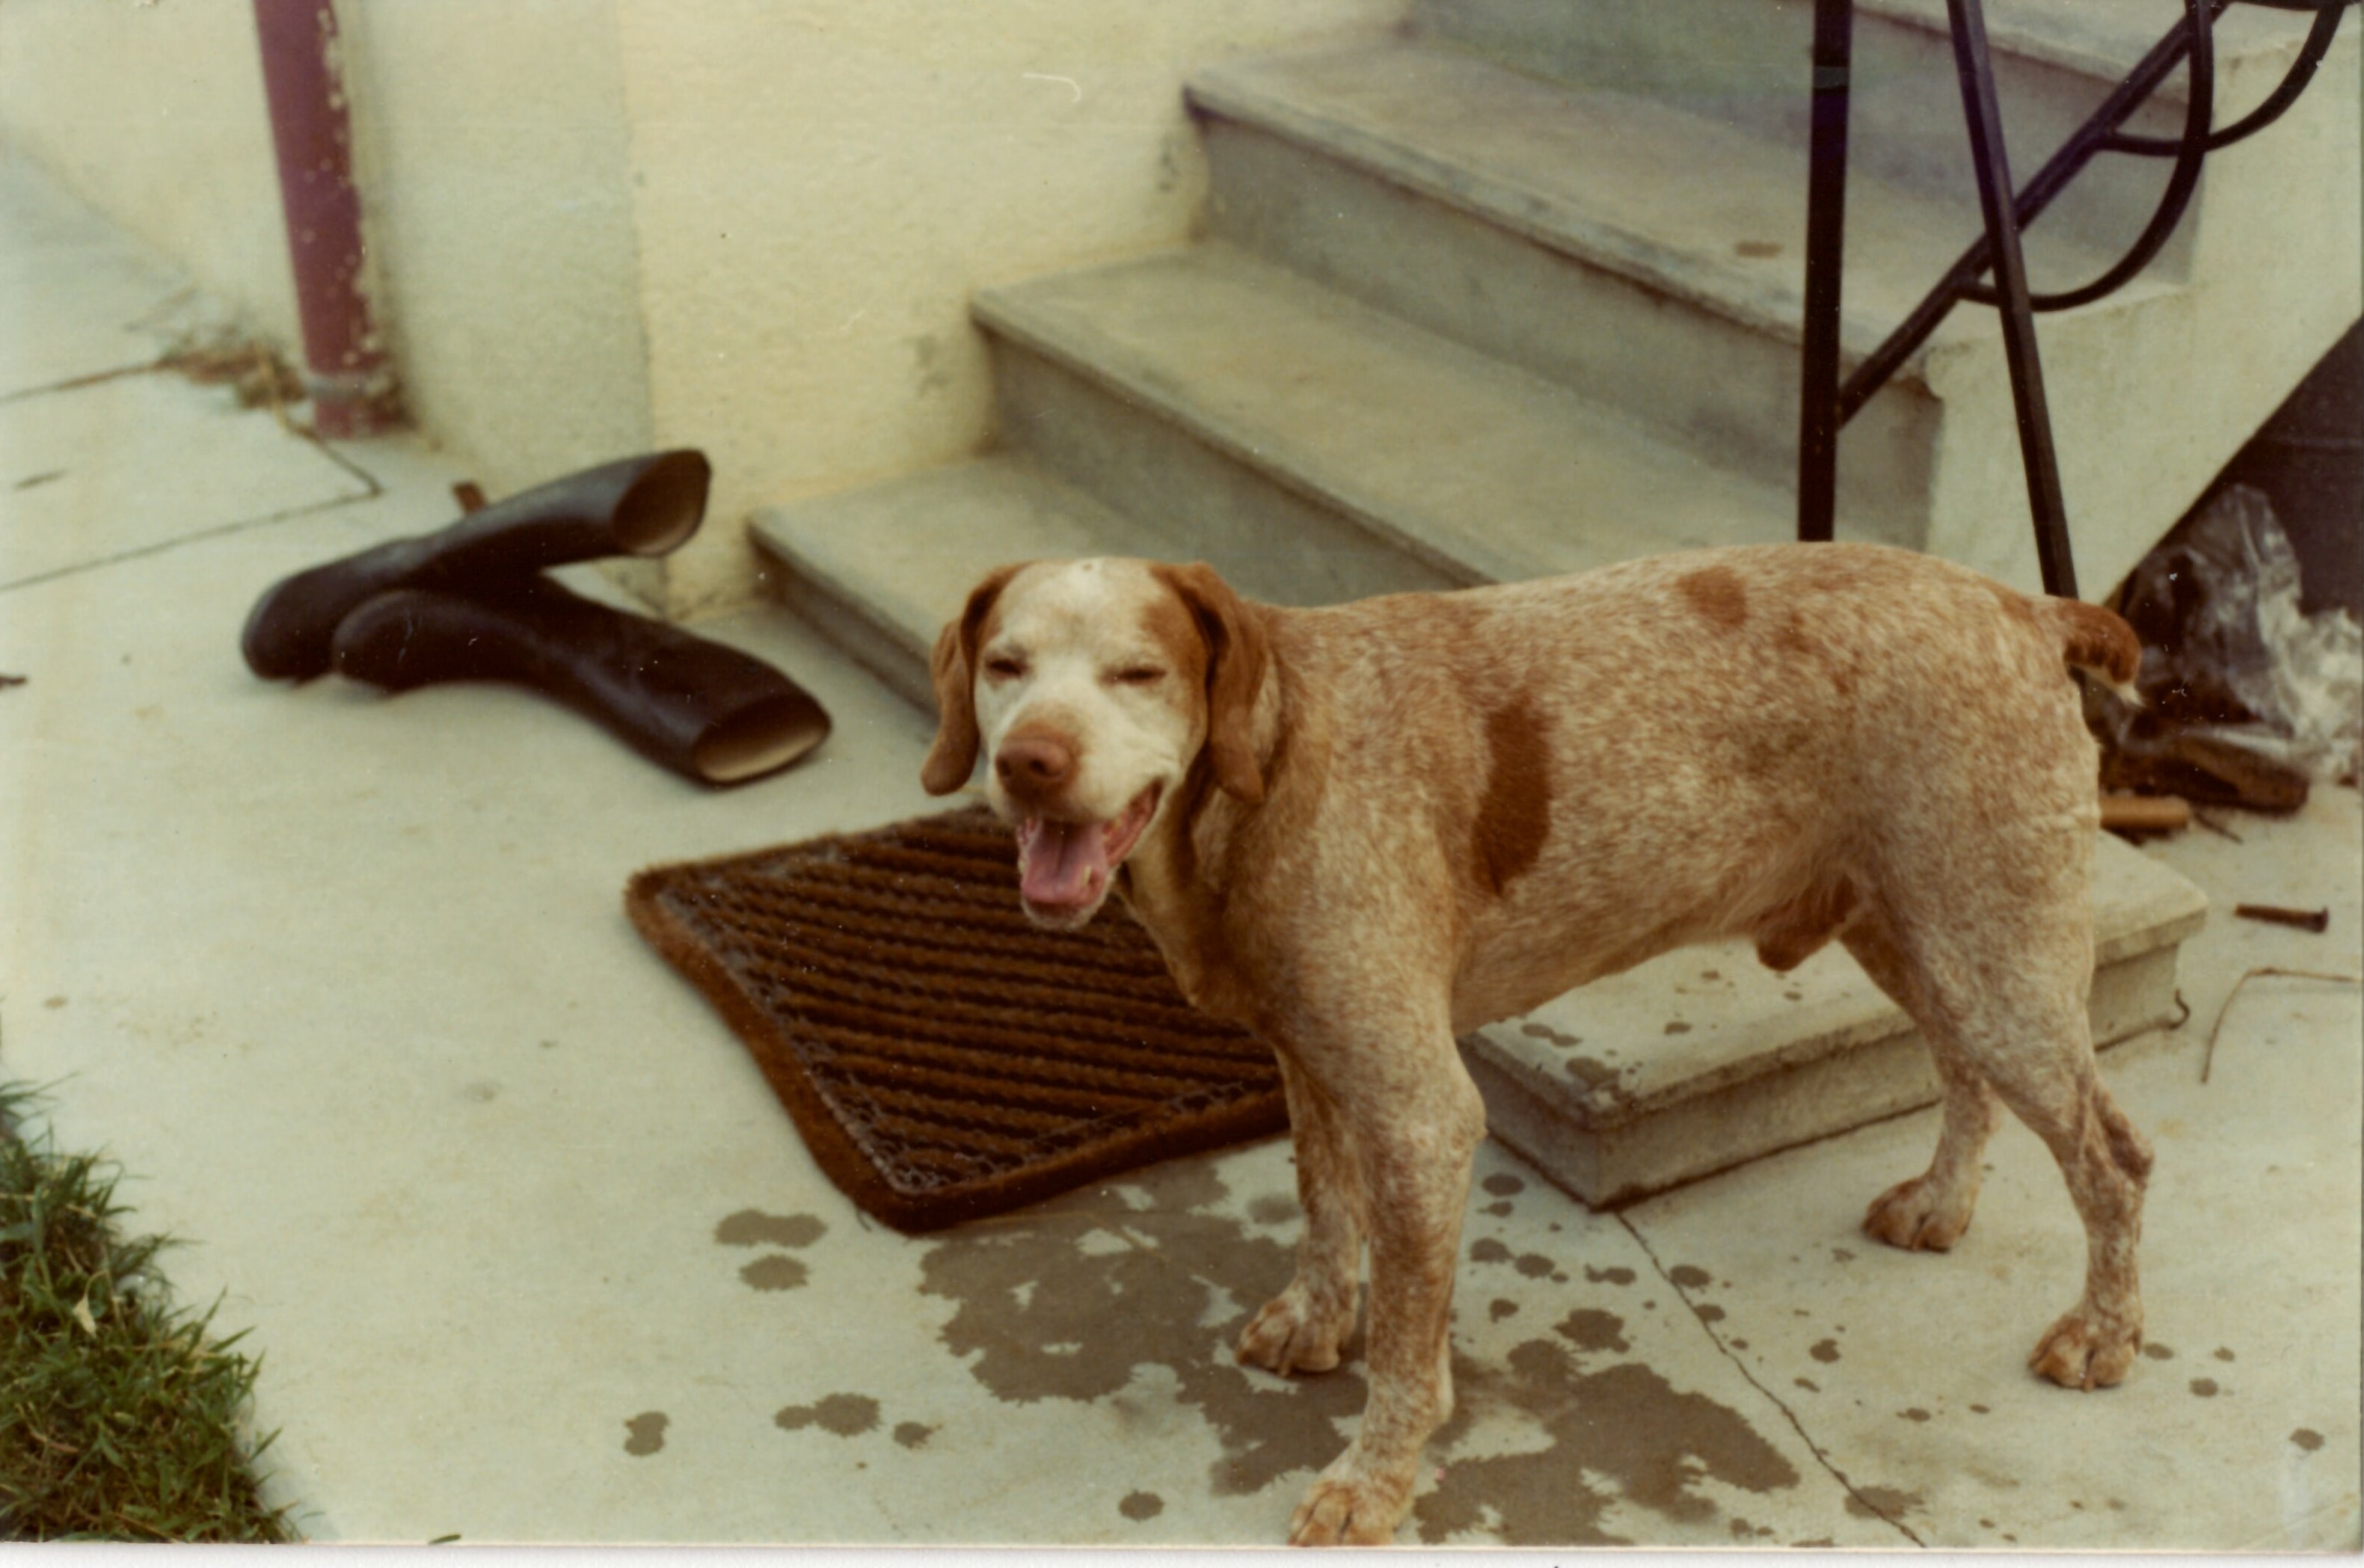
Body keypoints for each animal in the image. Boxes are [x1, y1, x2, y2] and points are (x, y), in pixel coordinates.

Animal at [912, 546, 2155, 1551]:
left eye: (1139, 674)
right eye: (1006, 666)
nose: (1027, 761)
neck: (1270, 765)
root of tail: (2026, 606)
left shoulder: (1419, 1112)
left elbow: (1404, 1344)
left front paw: (1373, 1481)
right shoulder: (1314, 1059)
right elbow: (1322, 1208)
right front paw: (1317, 1321)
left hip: (1991, 949)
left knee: (2114, 1159)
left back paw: (2103, 1336)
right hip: (1921, 934)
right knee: (1964, 1076)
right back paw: (1944, 1206)